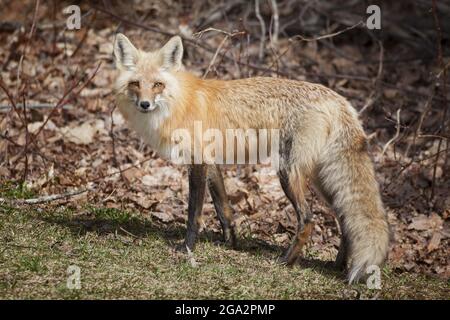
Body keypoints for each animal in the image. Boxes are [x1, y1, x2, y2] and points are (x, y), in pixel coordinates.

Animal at [112, 32, 390, 282]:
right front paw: (231, 244)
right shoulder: (211, 163)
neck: (178, 102)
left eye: (157, 85)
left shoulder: (198, 162)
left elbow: (194, 214)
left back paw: (287, 261)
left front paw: (187, 248)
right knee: (345, 221)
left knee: (308, 219)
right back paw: (337, 267)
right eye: (135, 84)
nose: (145, 104)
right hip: (322, 179)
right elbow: (224, 209)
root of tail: (338, 99)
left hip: (287, 172)